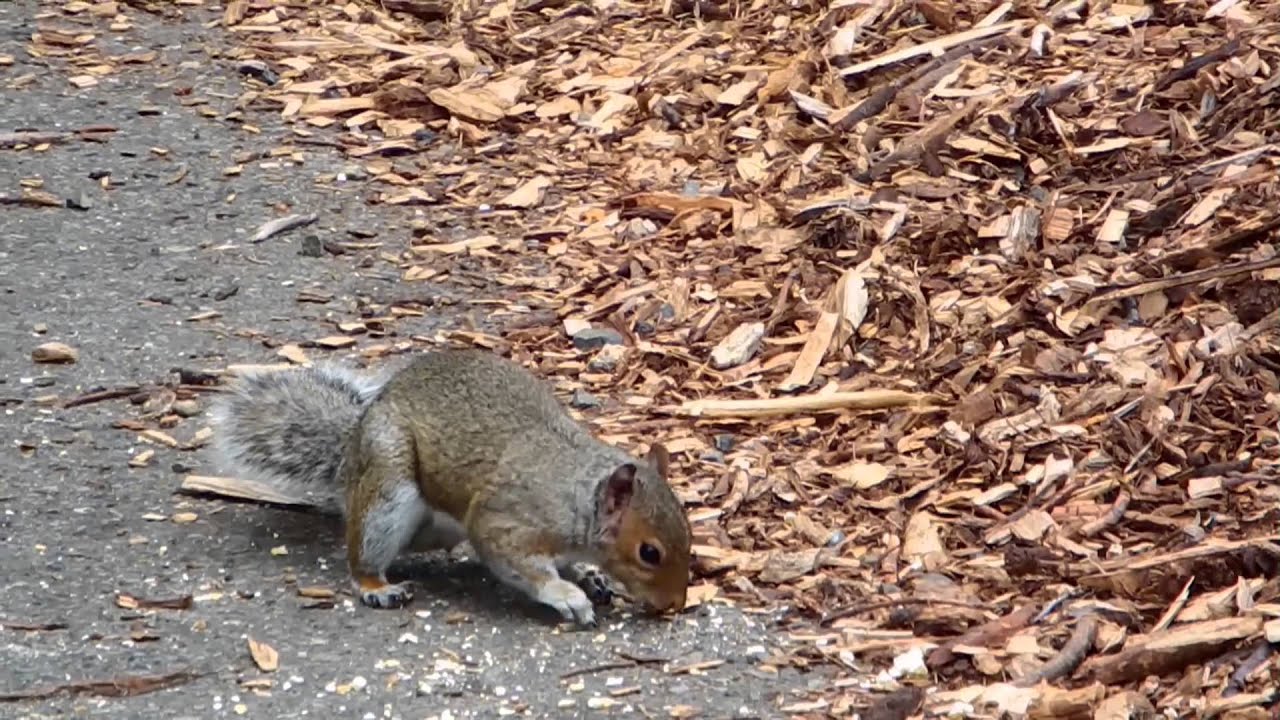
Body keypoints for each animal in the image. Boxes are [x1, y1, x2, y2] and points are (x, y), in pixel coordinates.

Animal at [209, 347, 691, 626]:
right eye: (649, 553)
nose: (674, 604)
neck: (574, 497)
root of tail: (353, 448)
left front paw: (589, 576)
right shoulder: (503, 522)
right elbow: (520, 564)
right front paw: (565, 595)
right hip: (388, 490)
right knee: (362, 554)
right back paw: (377, 586)